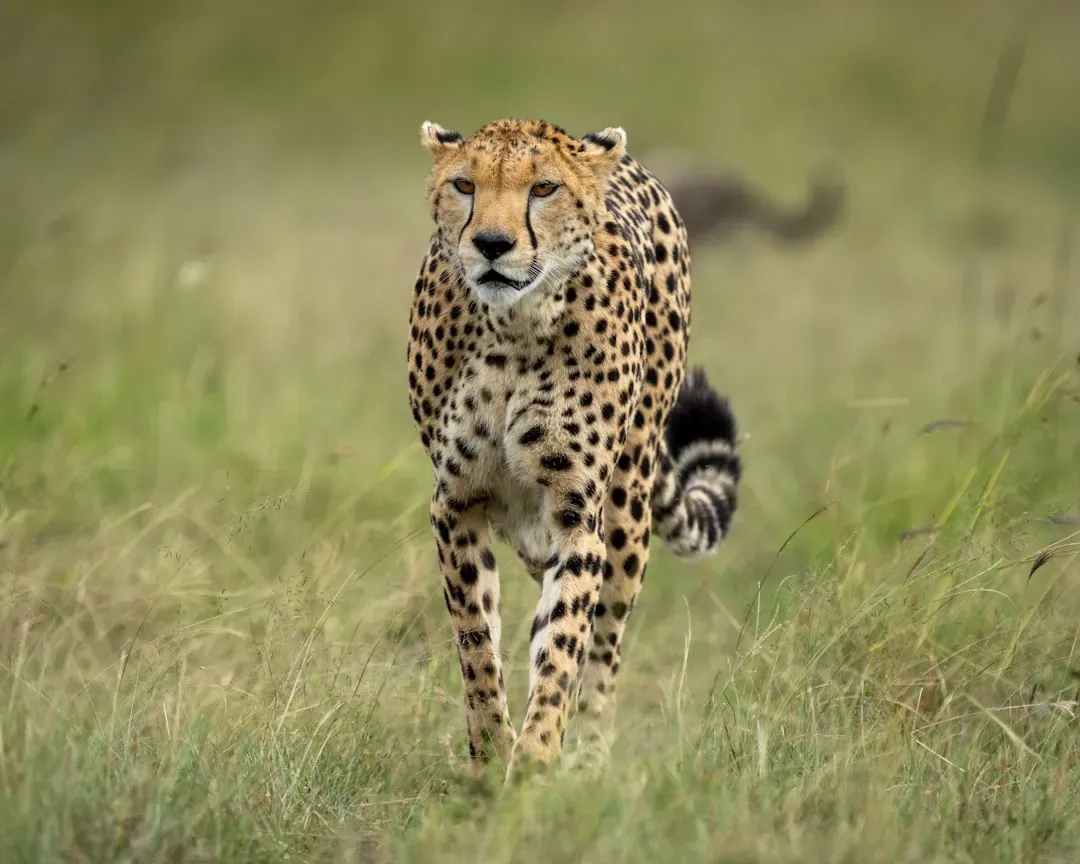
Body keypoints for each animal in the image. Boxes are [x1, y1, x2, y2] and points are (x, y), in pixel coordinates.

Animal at [406, 117, 742, 779]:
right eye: (464, 184)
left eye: (543, 188)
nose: (491, 243)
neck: (512, 327)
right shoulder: (455, 503)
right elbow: (476, 641)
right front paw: (492, 757)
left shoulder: (577, 515)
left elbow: (563, 645)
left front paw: (537, 758)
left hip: (628, 505)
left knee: (604, 643)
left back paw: (587, 757)